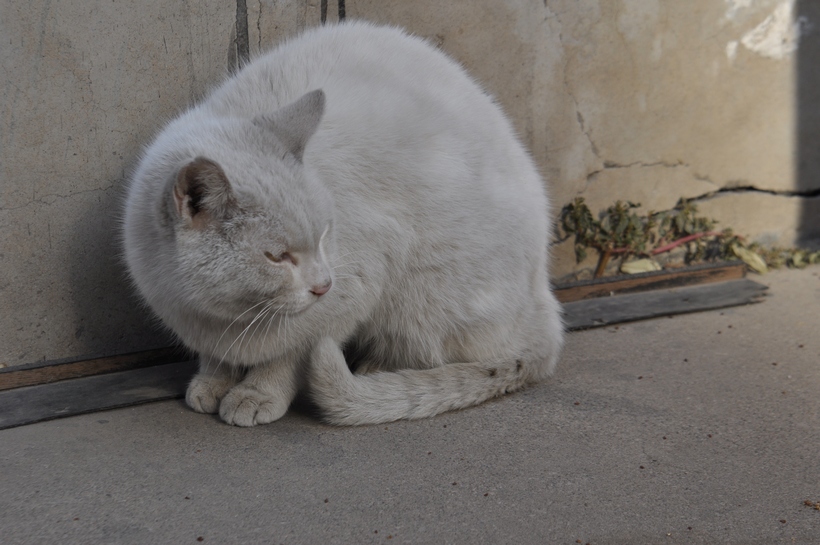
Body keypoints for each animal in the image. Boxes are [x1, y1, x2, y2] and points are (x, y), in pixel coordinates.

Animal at [125, 22, 564, 424]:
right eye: (277, 256)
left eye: (323, 237)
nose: (323, 285)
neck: (222, 315)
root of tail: (545, 302)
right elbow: (217, 356)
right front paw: (212, 381)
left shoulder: (355, 287)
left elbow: (291, 354)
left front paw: (257, 394)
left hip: (420, 291)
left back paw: (373, 370)